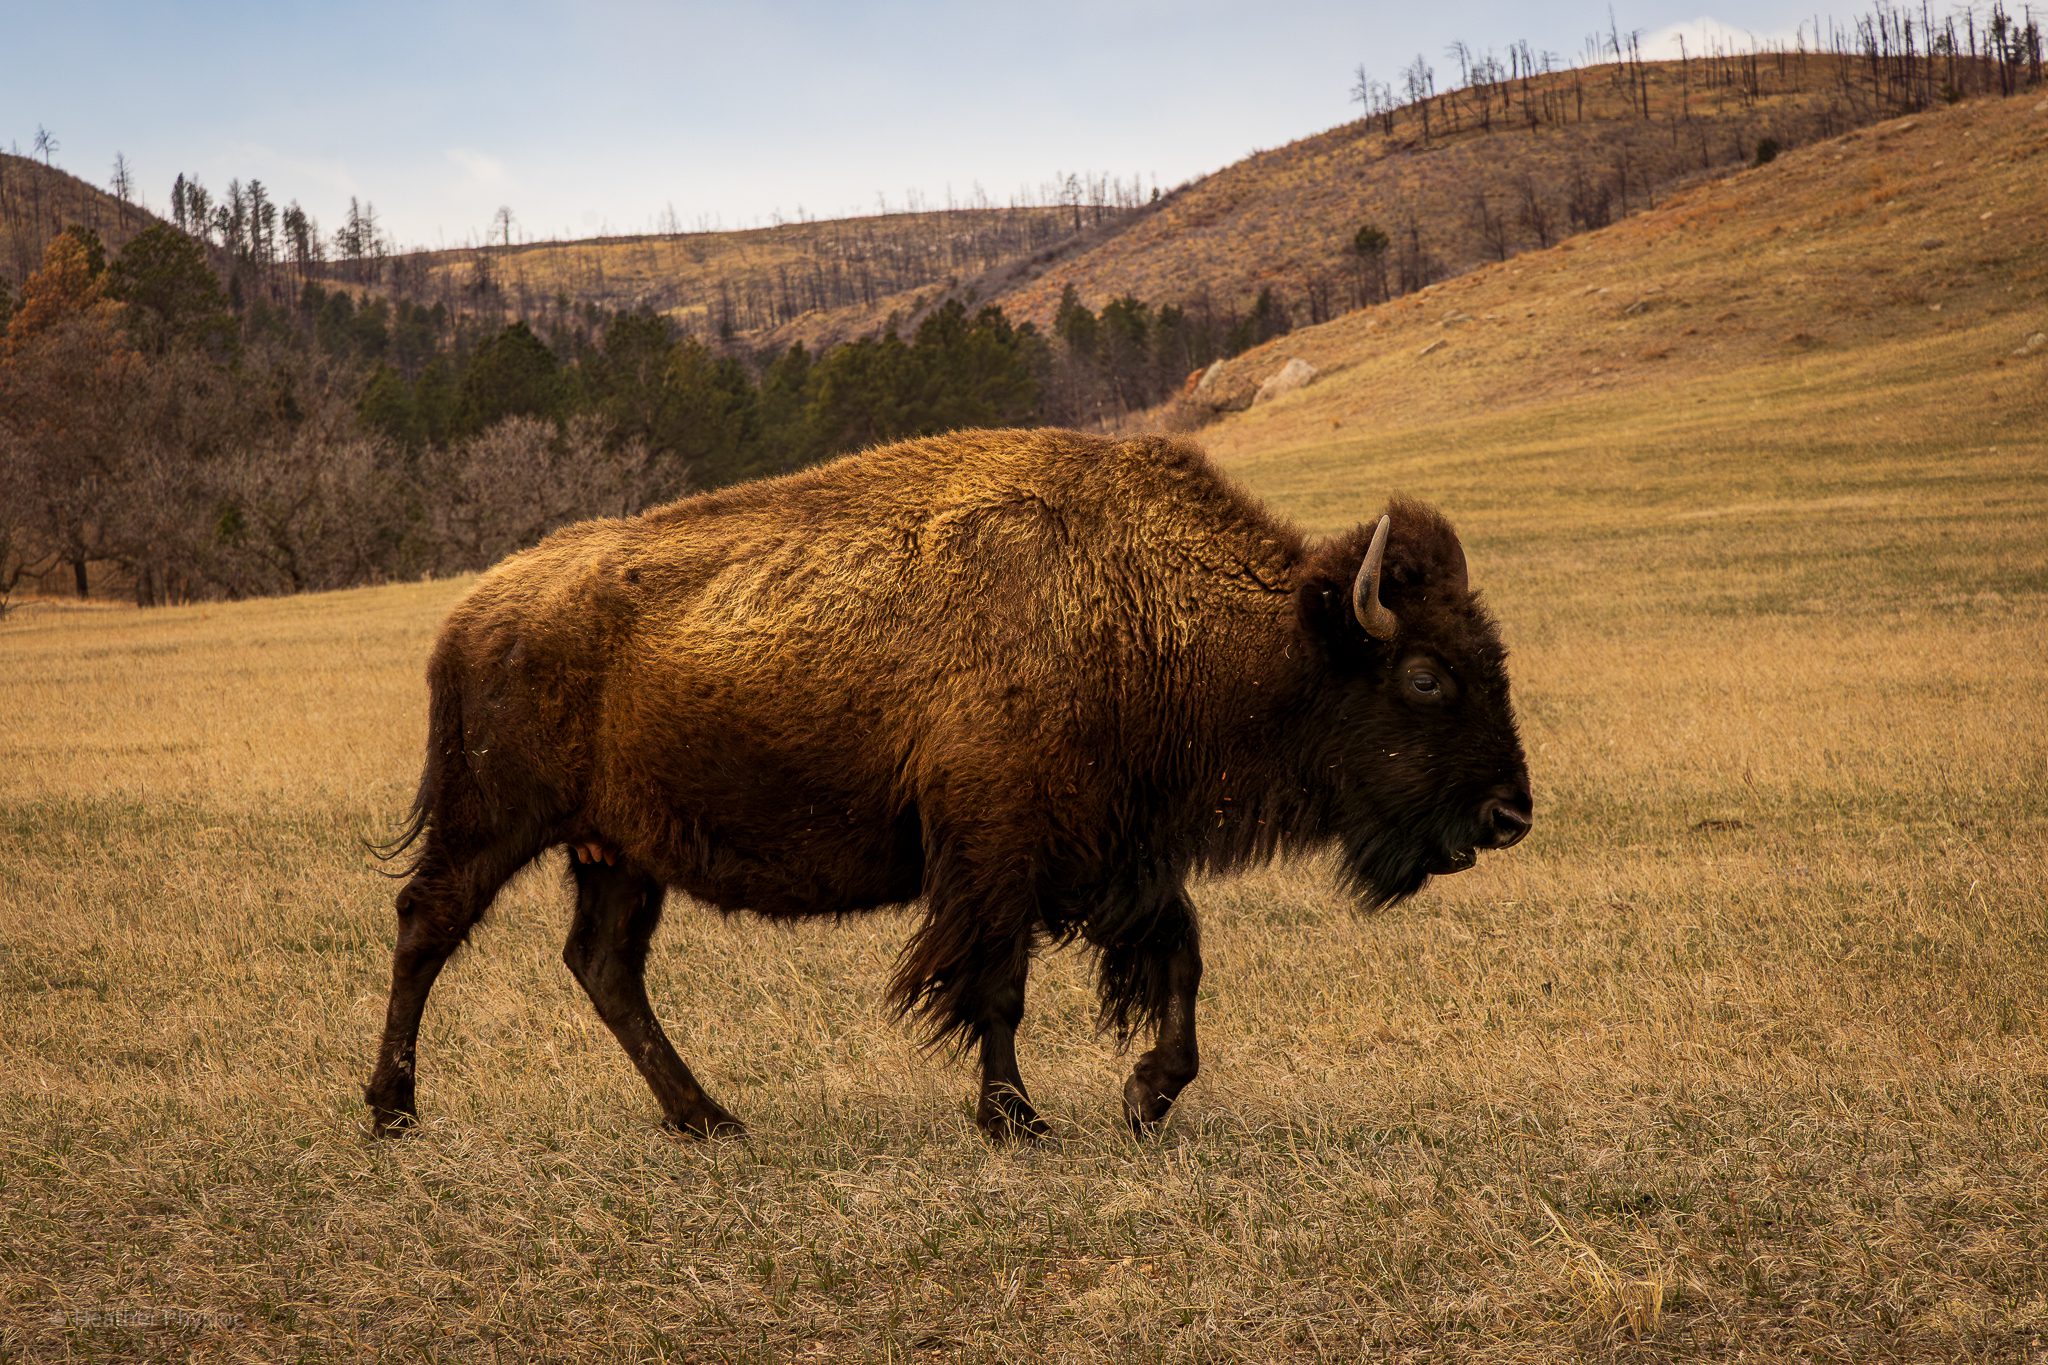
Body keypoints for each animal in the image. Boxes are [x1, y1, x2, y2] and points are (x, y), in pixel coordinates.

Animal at [365, 428, 1531, 1141]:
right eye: (1426, 675)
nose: (1510, 812)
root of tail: (471, 615)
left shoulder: (1115, 854)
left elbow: (1181, 958)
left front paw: (1146, 1096)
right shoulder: (998, 857)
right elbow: (997, 988)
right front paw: (1017, 1118)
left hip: (620, 854)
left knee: (604, 968)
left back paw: (711, 1120)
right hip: (495, 823)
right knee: (426, 925)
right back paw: (392, 1110)